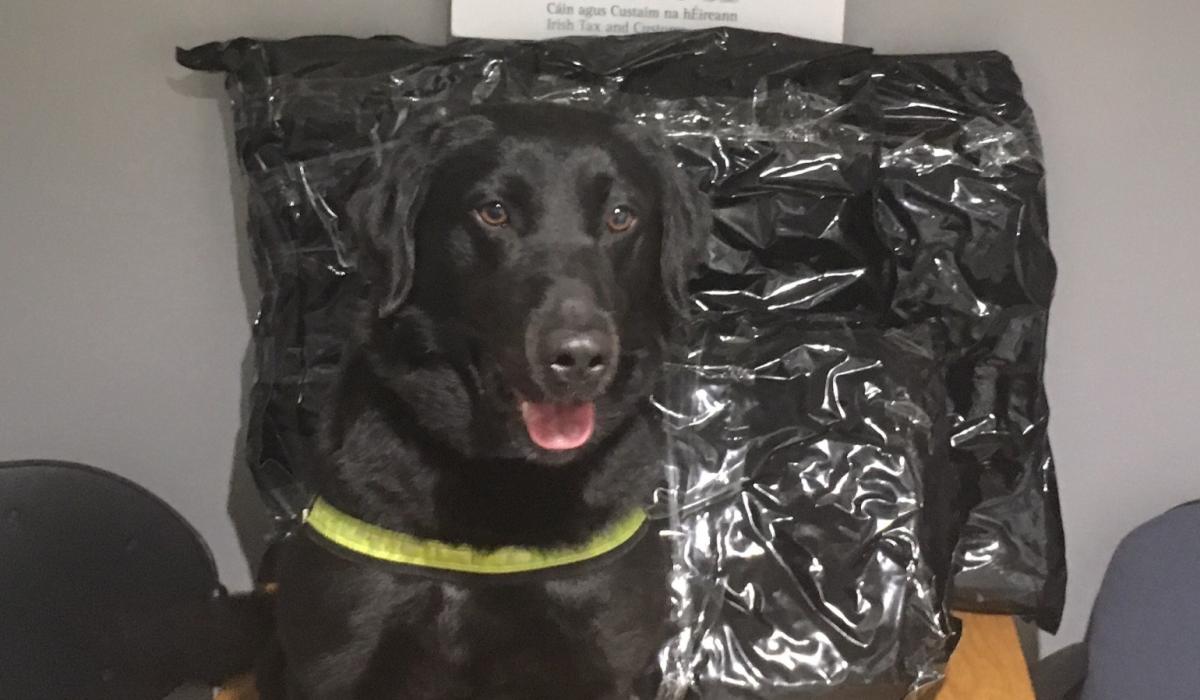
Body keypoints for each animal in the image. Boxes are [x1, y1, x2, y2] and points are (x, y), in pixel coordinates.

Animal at [210, 102, 711, 699]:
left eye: (620, 216)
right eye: (493, 212)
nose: (578, 358)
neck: (506, 478)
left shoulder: (610, 658)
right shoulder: (338, 659)